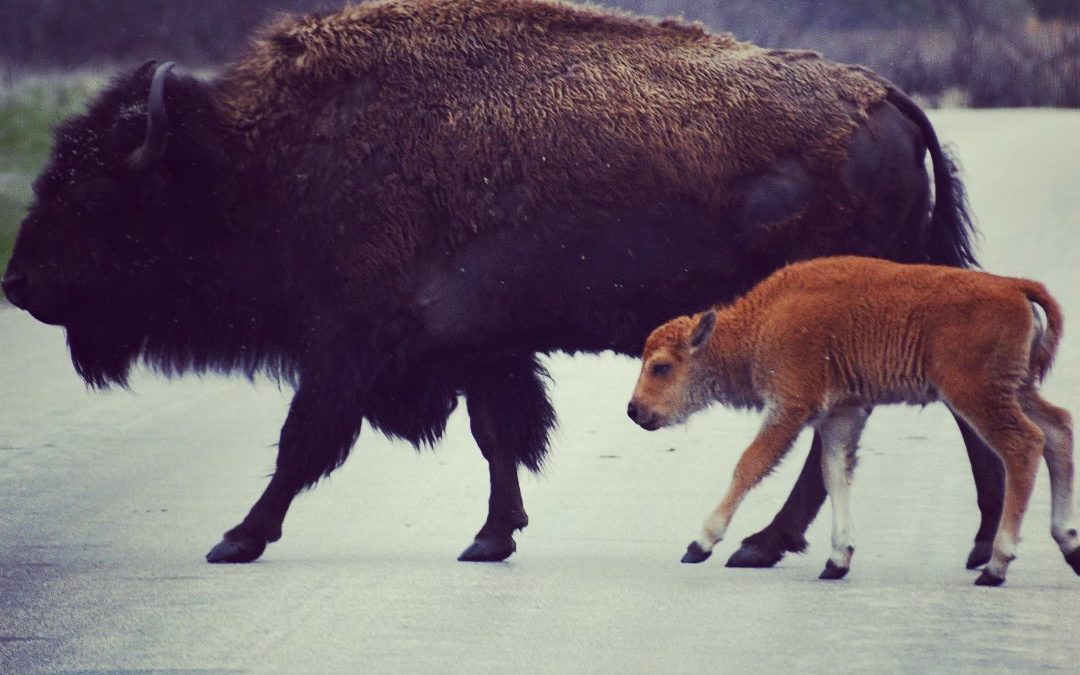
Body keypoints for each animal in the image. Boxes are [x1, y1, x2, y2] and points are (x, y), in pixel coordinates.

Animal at [2, 0, 998, 567]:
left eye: (98, 193)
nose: (18, 281)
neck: (265, 158)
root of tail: (889, 100)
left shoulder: (350, 346)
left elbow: (304, 442)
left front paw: (236, 537)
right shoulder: (479, 348)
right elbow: (497, 438)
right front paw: (491, 536)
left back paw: (782, 545)